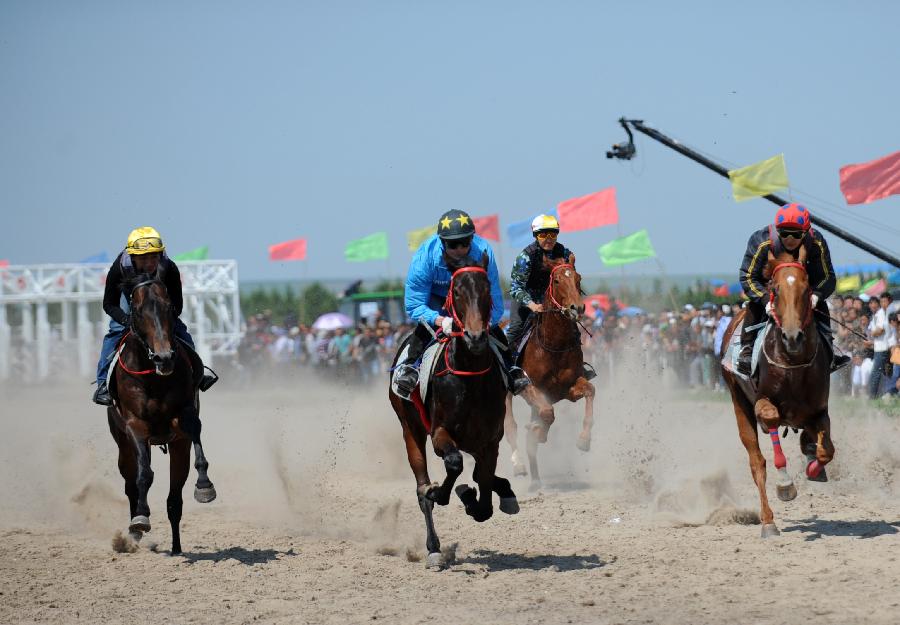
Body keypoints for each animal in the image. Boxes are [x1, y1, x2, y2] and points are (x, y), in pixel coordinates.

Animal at [105, 276, 216, 552]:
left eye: (170, 308)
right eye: (137, 311)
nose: (164, 357)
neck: (153, 377)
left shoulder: (183, 419)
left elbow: (194, 430)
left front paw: (205, 486)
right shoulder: (135, 426)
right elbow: (144, 475)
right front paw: (141, 519)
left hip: (177, 450)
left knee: (174, 499)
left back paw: (176, 547)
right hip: (123, 445)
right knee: (131, 484)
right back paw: (134, 531)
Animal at [388, 251, 520, 568]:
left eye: (487, 289)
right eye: (457, 291)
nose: (475, 337)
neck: (469, 375)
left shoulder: (490, 439)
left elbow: (483, 490)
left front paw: (477, 495)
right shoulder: (440, 433)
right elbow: (454, 465)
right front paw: (446, 492)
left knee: (481, 474)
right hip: (410, 428)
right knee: (422, 488)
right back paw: (434, 547)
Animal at [506, 256, 596, 490]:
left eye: (578, 278)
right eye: (556, 280)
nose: (577, 308)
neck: (554, 345)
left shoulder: (568, 388)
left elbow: (590, 391)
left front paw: (584, 440)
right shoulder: (529, 387)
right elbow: (547, 413)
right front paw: (539, 432)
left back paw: (536, 479)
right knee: (510, 426)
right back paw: (519, 465)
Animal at [720, 247, 832, 536]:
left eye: (806, 289)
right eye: (775, 289)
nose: (792, 337)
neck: (793, 364)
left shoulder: (819, 410)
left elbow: (825, 450)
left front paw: (814, 466)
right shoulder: (762, 402)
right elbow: (770, 420)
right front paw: (785, 485)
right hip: (738, 400)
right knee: (757, 461)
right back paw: (768, 521)